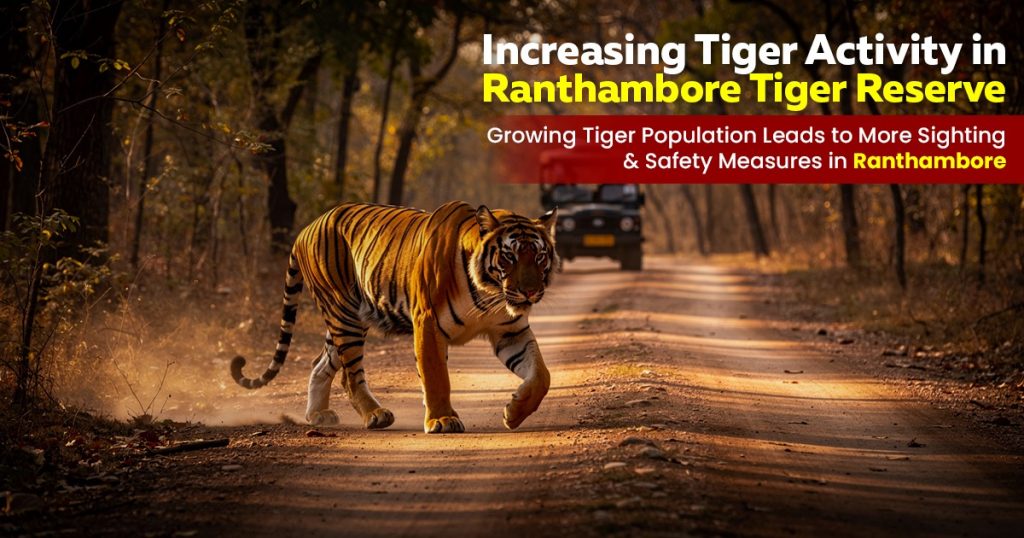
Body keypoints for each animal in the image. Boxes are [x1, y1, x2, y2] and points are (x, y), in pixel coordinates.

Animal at [231, 201, 558, 433]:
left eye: (539, 256)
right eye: (509, 256)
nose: (530, 292)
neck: (490, 294)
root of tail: (306, 229)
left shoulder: (510, 331)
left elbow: (541, 375)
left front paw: (514, 412)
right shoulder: (428, 323)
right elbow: (436, 376)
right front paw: (442, 420)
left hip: (344, 320)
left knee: (319, 363)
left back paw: (318, 415)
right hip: (344, 315)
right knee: (350, 376)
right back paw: (375, 415)